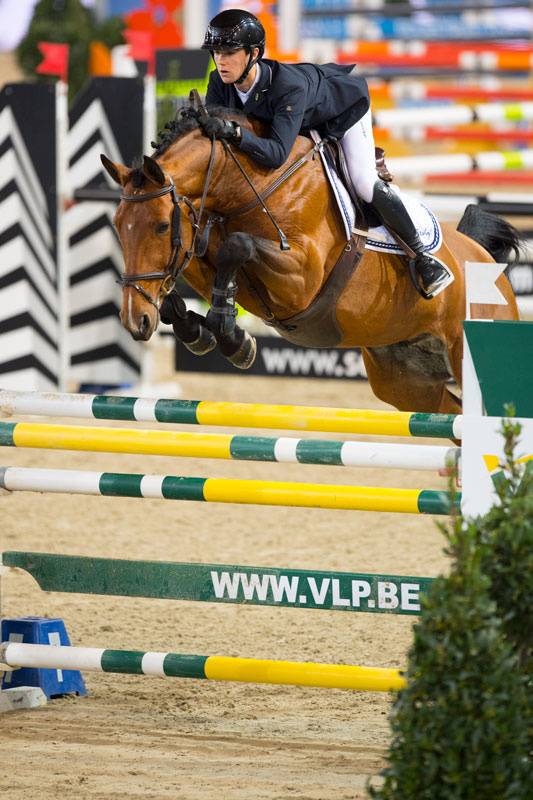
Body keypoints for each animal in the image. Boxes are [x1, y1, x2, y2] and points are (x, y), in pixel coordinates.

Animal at [101, 101, 520, 415]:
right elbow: (195, 267)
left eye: (160, 226)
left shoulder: (302, 280)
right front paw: (200, 330)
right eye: (119, 225)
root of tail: (487, 261)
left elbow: (238, 246)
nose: (134, 321)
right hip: (405, 383)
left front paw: (229, 334)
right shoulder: (205, 252)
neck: (253, 183)